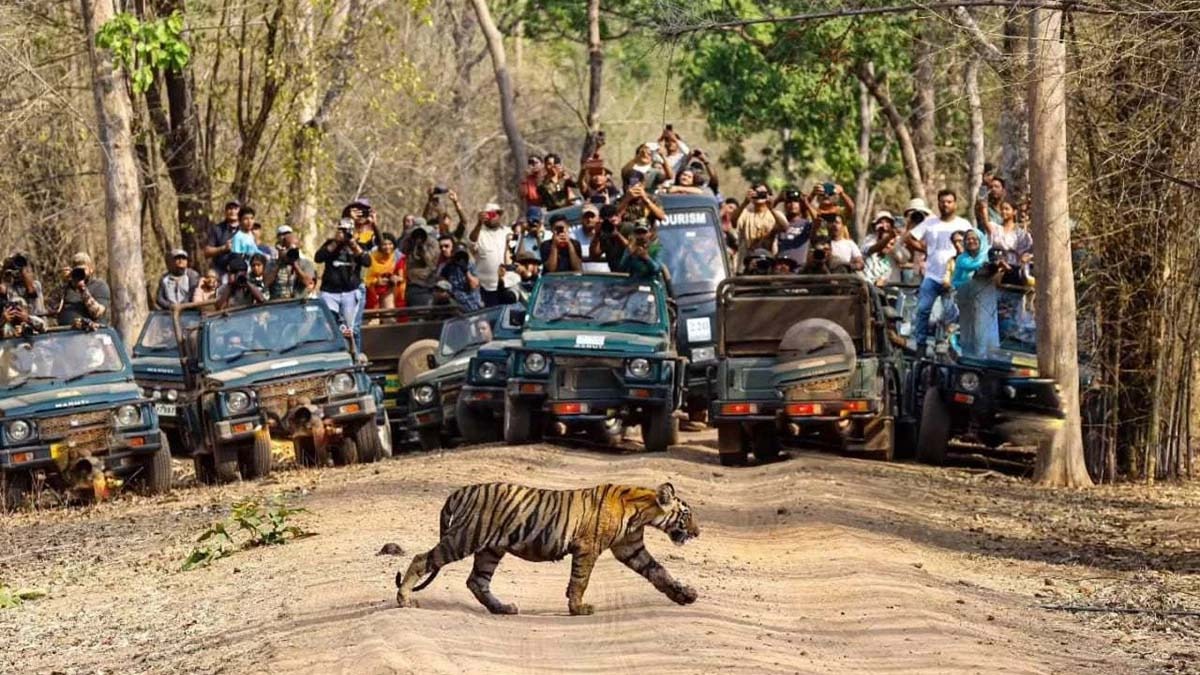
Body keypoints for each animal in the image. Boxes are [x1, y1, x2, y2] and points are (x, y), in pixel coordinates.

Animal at [395, 481, 700, 616]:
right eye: (686, 515)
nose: (698, 533)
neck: (643, 512)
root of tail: (459, 491)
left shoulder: (631, 548)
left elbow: (658, 572)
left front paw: (685, 595)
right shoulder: (588, 548)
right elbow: (580, 580)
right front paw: (578, 608)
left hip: (490, 549)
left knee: (476, 581)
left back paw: (503, 608)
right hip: (464, 537)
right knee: (422, 559)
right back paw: (404, 599)